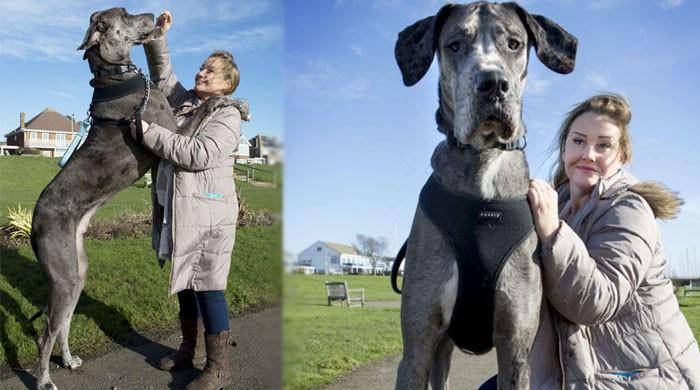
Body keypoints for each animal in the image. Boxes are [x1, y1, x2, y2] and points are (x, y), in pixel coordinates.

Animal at [29, 6, 219, 390]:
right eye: (126, 14)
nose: (151, 12)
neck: (115, 76)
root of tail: (32, 223)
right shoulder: (172, 134)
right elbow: (201, 112)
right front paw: (229, 100)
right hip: (63, 277)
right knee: (46, 332)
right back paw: (43, 380)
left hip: (76, 273)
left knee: (63, 323)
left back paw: (68, 360)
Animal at [392, 3, 576, 390]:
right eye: (454, 45)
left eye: (515, 43)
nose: (492, 83)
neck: (482, 162)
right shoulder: (417, 347)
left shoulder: (516, 349)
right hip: (439, 351)